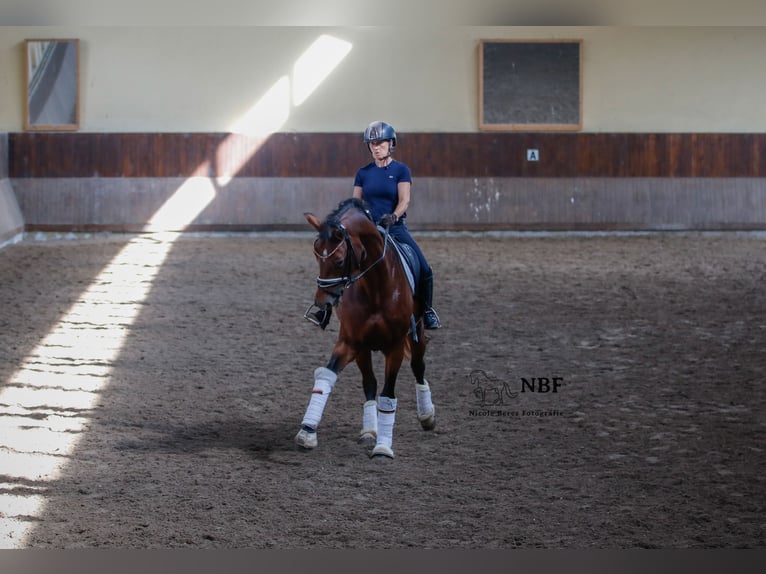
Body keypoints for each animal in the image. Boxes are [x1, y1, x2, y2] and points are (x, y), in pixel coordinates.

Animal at [296, 198, 438, 460]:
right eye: (316, 257)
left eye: (338, 261)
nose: (322, 302)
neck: (377, 287)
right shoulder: (351, 342)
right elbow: (327, 377)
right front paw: (307, 432)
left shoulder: (394, 346)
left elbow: (388, 395)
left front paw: (383, 447)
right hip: (364, 351)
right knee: (369, 384)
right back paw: (370, 430)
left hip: (417, 335)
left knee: (418, 367)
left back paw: (427, 415)